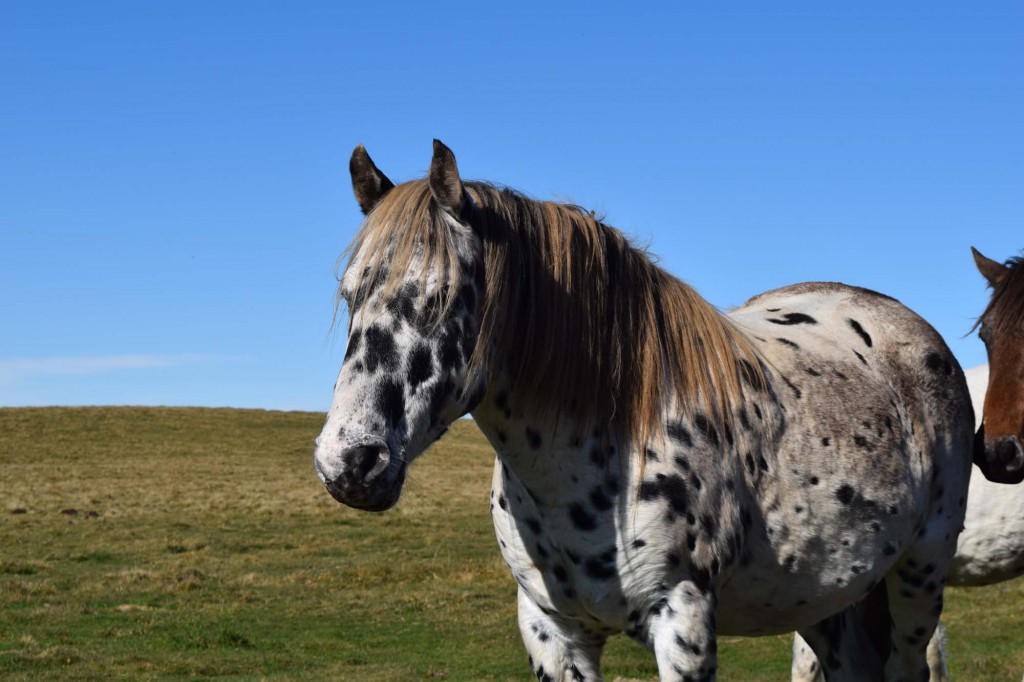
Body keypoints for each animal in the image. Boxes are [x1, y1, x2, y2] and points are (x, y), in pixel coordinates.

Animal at [311, 139, 974, 679]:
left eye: (443, 296)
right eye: (350, 295)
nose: (350, 463)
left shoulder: (683, 621)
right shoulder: (552, 631)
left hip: (918, 577)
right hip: (827, 596)